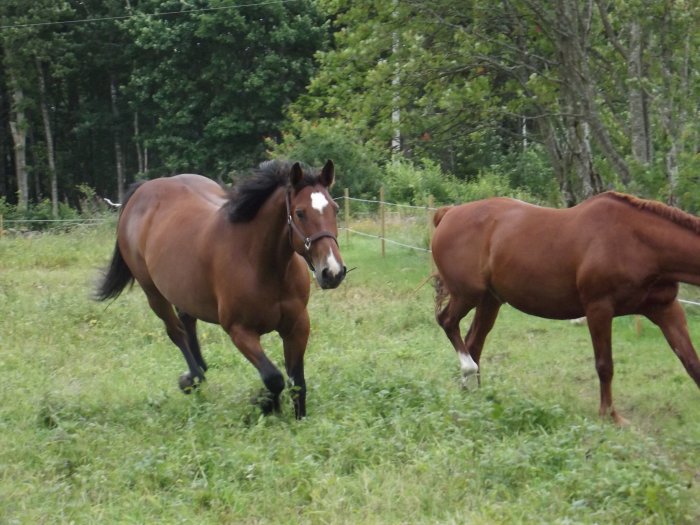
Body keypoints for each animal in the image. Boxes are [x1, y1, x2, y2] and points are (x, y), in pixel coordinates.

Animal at [95, 160, 348, 418]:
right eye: (300, 213)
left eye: (335, 209)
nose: (332, 271)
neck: (261, 263)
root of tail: (144, 189)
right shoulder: (240, 331)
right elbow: (273, 378)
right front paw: (266, 404)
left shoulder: (297, 326)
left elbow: (297, 382)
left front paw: (296, 416)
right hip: (153, 293)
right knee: (176, 332)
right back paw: (192, 378)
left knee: (187, 322)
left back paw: (197, 373)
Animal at [432, 190, 700, 424]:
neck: (638, 243)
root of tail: (448, 213)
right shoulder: (599, 309)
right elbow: (605, 366)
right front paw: (610, 416)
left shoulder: (666, 309)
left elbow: (692, 363)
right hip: (467, 294)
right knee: (447, 322)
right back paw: (467, 372)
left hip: (490, 300)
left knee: (474, 341)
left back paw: (473, 394)